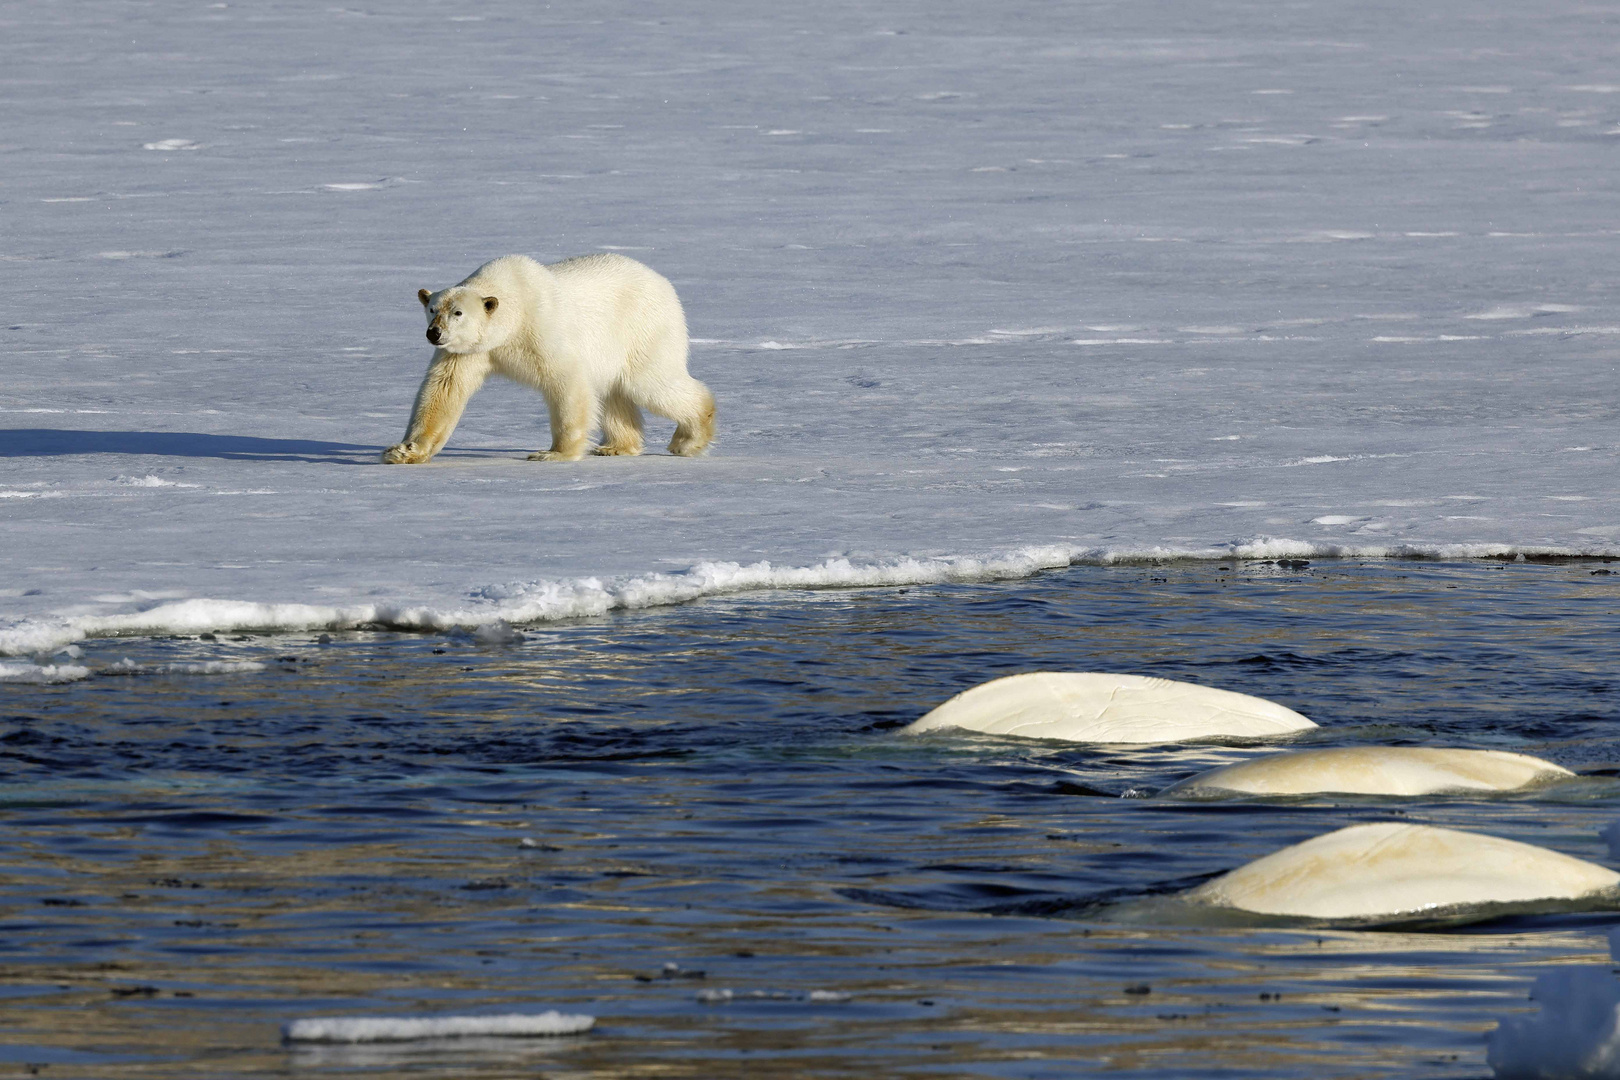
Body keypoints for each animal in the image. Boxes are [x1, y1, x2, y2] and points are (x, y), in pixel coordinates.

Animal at [385, 254, 716, 466]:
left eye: (458, 312)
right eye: (432, 308)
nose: (434, 333)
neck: (513, 312)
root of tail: (663, 283)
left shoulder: (540, 328)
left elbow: (566, 381)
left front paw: (553, 454)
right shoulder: (468, 350)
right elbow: (444, 390)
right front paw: (404, 451)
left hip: (643, 328)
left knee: (651, 384)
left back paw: (687, 440)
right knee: (615, 392)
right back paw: (616, 446)